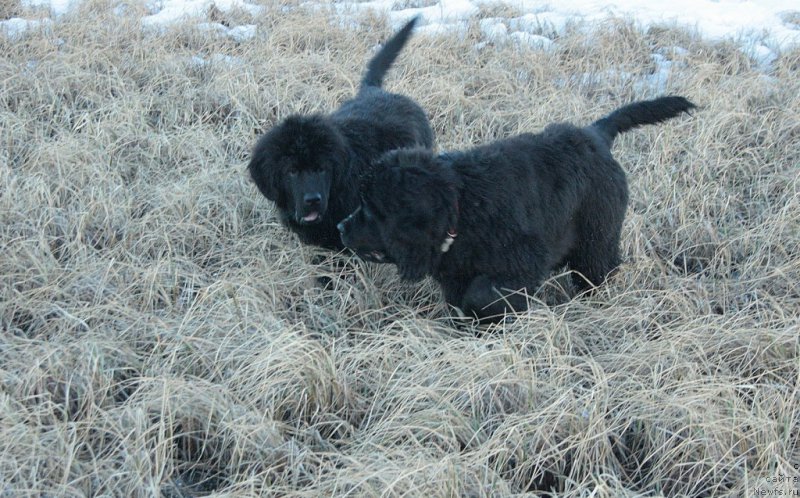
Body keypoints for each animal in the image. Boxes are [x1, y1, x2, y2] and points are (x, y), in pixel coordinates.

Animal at [338, 96, 692, 320]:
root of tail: (596, 135)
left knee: (597, 268)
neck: (462, 208)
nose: (341, 227)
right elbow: (461, 298)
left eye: (371, 209)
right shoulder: (458, 271)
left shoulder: (521, 262)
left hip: (596, 237)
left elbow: (483, 295)